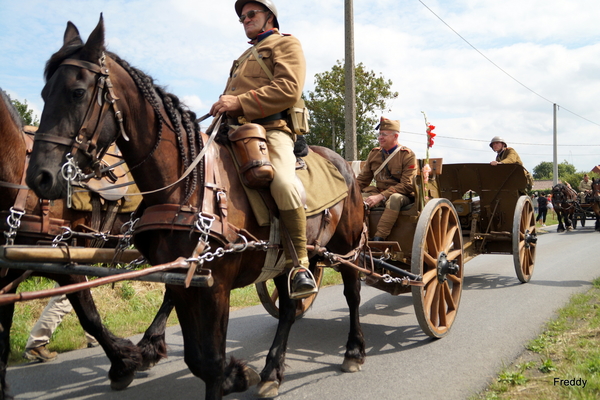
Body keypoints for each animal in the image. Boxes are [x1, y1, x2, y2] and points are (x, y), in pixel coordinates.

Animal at [23, 16, 366, 400]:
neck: (187, 188)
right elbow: (195, 357)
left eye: (78, 92)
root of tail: (345, 164)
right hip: (287, 260)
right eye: (43, 94)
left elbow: (211, 359)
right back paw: (272, 371)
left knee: (352, 293)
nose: (39, 176)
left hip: (346, 248)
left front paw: (229, 375)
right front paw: (237, 375)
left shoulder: (215, 286)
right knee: (291, 307)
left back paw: (353, 351)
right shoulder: (179, 281)